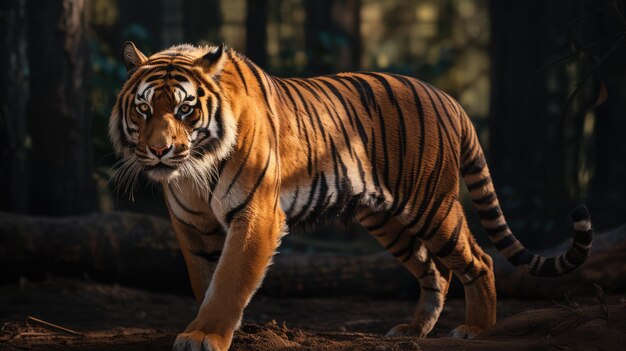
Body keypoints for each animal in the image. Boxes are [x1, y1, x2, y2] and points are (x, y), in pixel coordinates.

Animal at [109, 42, 592, 351]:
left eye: (185, 109)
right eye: (144, 108)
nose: (160, 150)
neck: (192, 170)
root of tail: (448, 98)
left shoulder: (256, 215)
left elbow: (229, 279)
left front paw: (205, 335)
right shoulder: (191, 226)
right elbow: (204, 280)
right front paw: (213, 328)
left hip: (431, 205)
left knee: (479, 259)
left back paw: (477, 329)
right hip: (386, 220)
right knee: (435, 272)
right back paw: (413, 330)